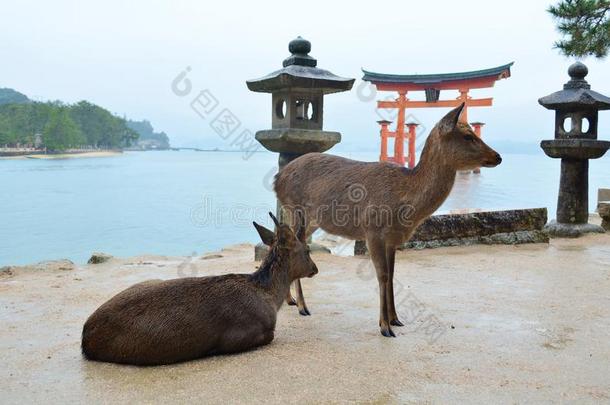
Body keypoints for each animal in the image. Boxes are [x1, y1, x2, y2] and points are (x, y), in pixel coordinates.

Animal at [81, 210, 316, 364]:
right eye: (307, 250)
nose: (315, 268)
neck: (268, 295)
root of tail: (85, 337)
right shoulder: (240, 334)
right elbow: (269, 336)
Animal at [274, 102, 502, 336]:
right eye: (467, 136)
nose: (498, 156)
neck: (405, 202)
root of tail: (277, 178)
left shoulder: (393, 238)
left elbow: (392, 274)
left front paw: (396, 319)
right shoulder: (372, 231)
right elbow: (382, 275)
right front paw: (384, 326)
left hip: (311, 219)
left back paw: (290, 299)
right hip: (296, 208)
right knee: (296, 242)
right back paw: (302, 306)